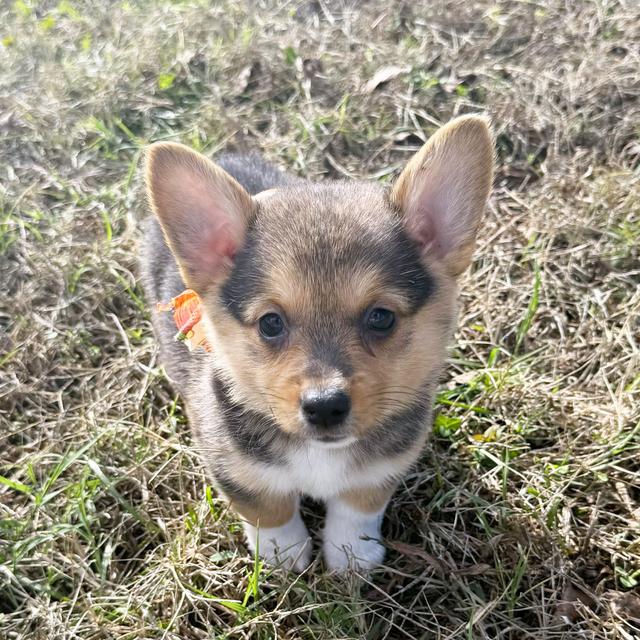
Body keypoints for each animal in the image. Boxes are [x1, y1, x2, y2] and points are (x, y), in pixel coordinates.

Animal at [141, 115, 496, 568]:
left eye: (381, 317)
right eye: (270, 323)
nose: (325, 407)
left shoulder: (383, 468)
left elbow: (358, 506)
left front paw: (351, 557)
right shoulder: (234, 467)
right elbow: (269, 508)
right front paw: (284, 557)